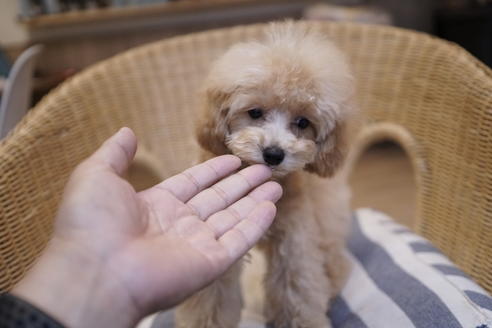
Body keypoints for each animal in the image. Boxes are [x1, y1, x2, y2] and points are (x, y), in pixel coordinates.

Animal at [175, 21, 356, 326]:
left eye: (303, 123)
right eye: (255, 112)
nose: (273, 154)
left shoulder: (293, 238)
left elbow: (296, 287)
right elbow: (211, 297)